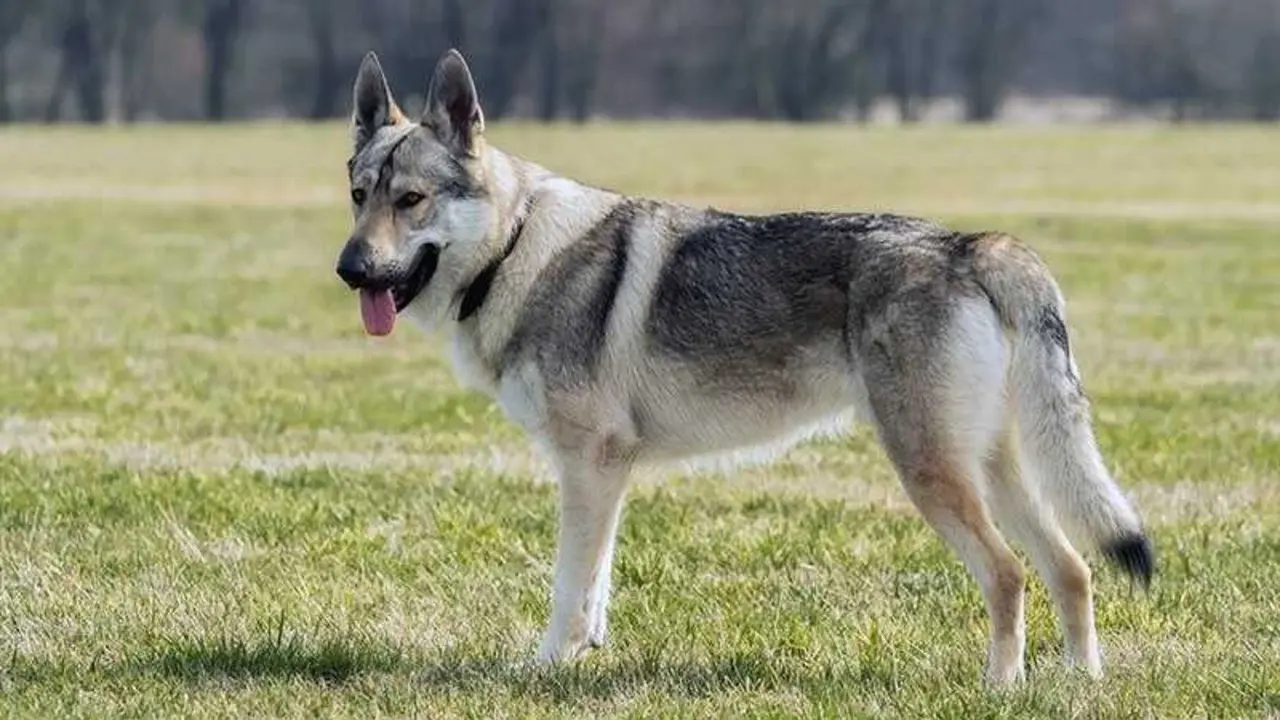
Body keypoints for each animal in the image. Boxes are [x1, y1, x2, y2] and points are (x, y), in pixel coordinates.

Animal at [333, 49, 1153, 685]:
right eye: (358, 195)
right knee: (1073, 568)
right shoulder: (608, 471)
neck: (516, 249)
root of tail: (973, 244)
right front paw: (586, 654)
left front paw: (544, 670)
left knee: (1011, 573)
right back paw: (1080, 683)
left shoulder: (589, 464)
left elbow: (568, 587)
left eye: (412, 200)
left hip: (931, 473)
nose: (349, 269)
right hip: (991, 468)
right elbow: (597, 584)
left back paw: (1001, 688)